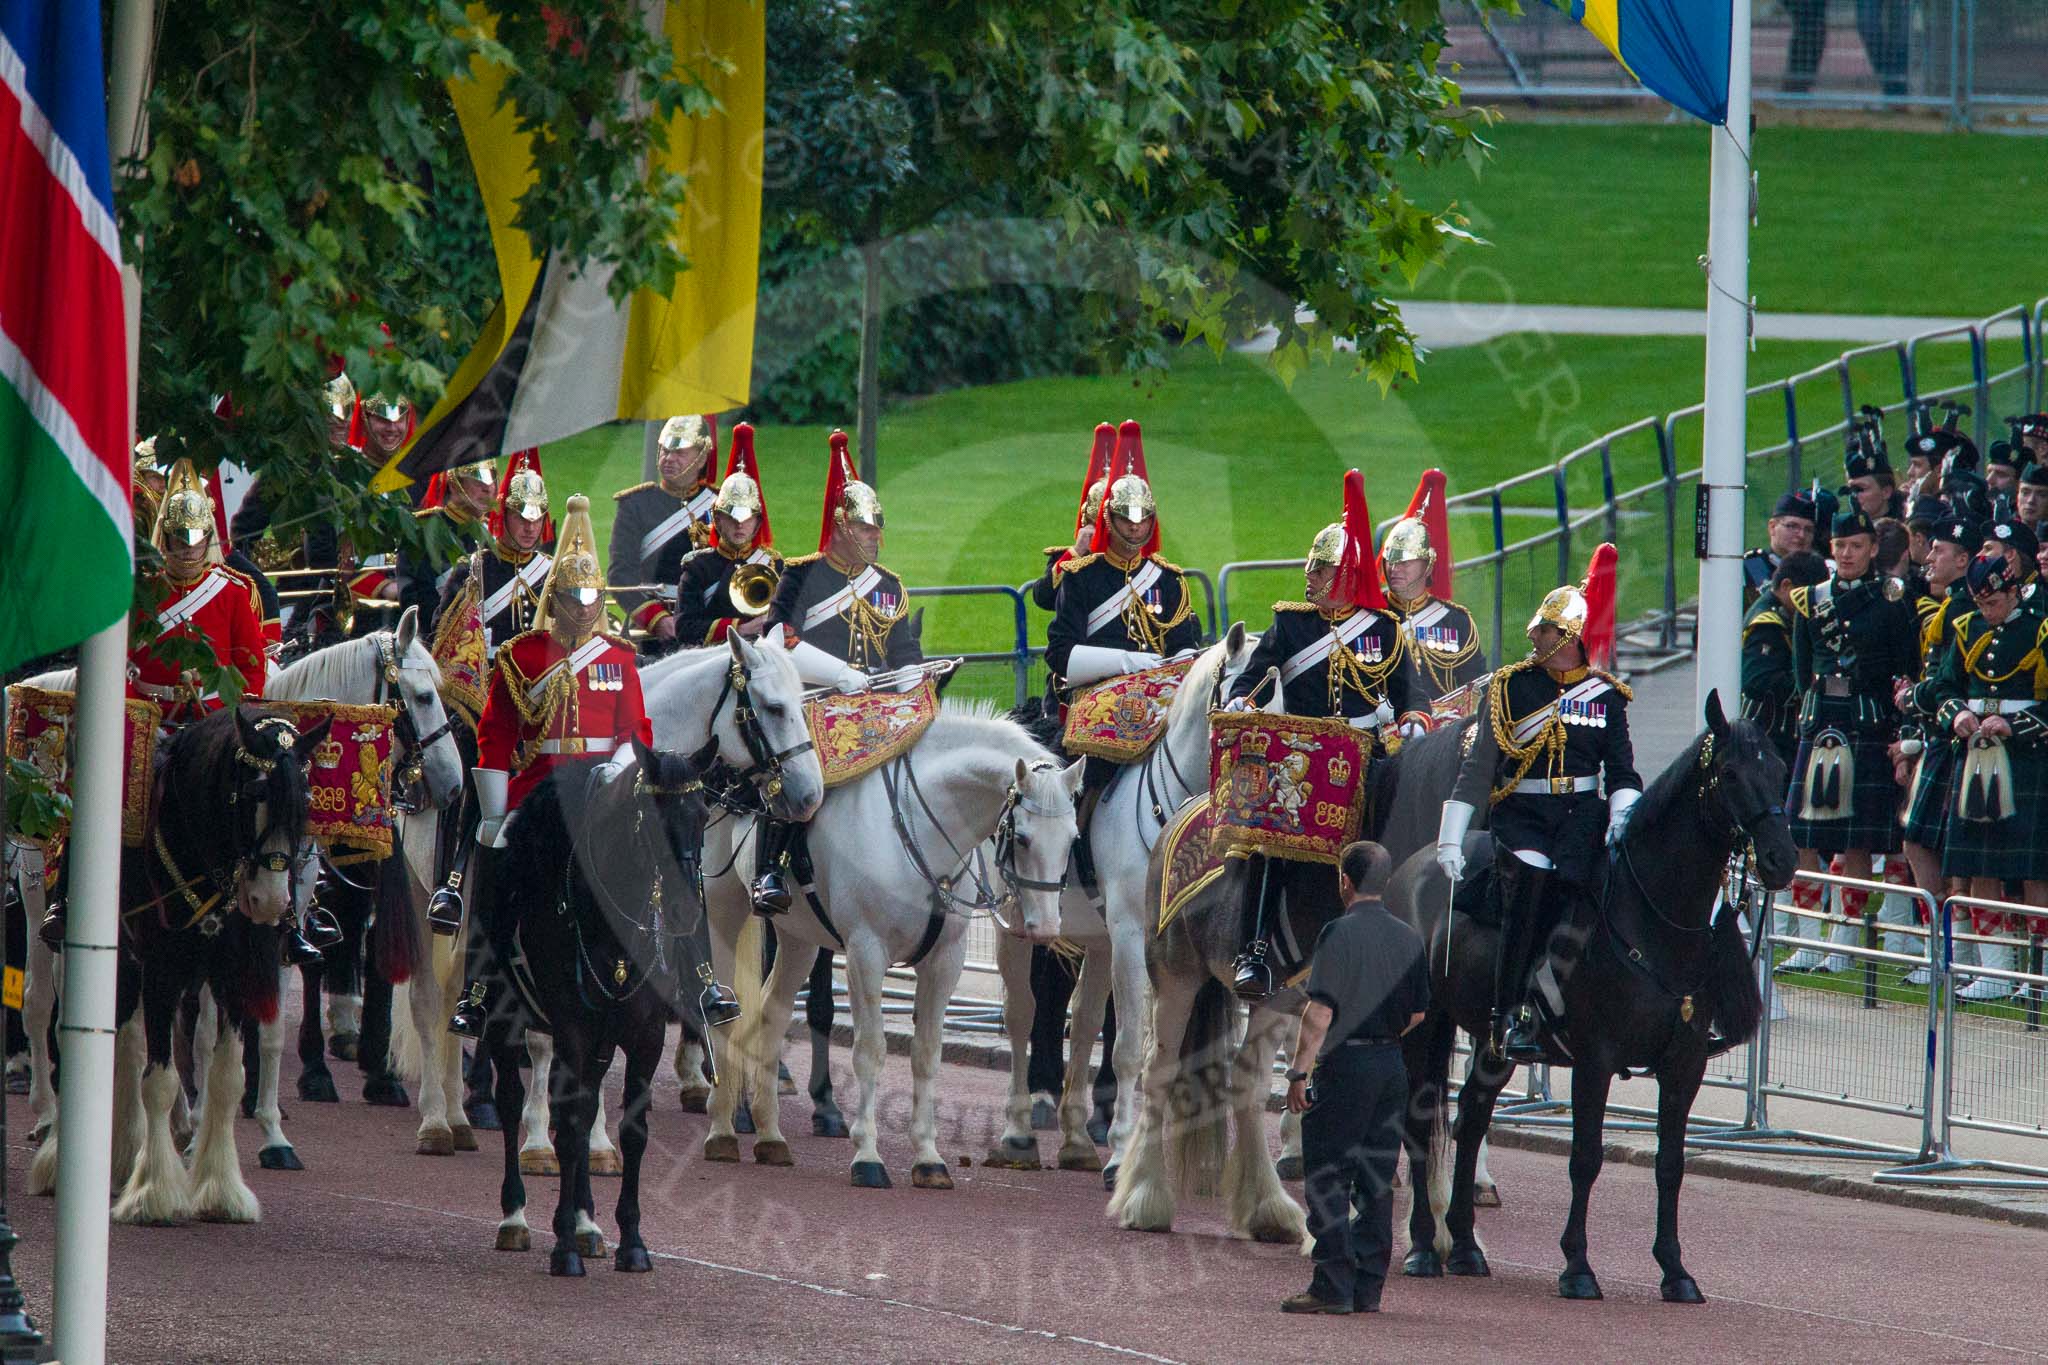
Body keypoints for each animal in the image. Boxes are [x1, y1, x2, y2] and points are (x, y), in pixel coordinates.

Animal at [483, 740, 724, 1277]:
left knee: (588, 1101)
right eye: (650, 817)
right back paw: (515, 1218)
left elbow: (631, 1130)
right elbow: (569, 1127)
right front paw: (562, 1246)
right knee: (510, 1101)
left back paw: (587, 1223)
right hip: (501, 1019)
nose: (685, 911)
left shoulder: (644, 1035)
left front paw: (629, 1240)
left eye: (703, 814)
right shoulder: (571, 1029)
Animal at [700, 703, 1073, 1186]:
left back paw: (770, 1135)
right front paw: (868, 1156)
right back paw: (723, 1129)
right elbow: (870, 1051)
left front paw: (928, 1157)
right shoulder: (866, 952)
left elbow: (927, 1053)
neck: (919, 827)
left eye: (1073, 839)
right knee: (725, 1013)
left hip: (799, 937)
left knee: (772, 1012)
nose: (1045, 927)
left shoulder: (945, 960)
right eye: (1023, 837)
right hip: (724, 913)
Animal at [983, 622, 1253, 1186]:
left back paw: (1076, 1138)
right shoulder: (1132, 936)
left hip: (1095, 937)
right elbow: (1132, 1044)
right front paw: (1124, 1151)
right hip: (1018, 924)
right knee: (1023, 1011)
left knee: (1083, 1019)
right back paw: (1021, 1127)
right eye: (1252, 680)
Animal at [1384, 695, 1802, 1301]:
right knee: (1421, 1125)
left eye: (1779, 768)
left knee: (1472, 1118)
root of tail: (1411, 869)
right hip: (1426, 1024)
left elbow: (1671, 1164)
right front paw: (1577, 1266)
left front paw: (1675, 1271)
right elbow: (1585, 1158)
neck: (1653, 917)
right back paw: (1422, 1246)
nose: (1780, 860)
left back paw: (1463, 1246)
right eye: (1728, 773)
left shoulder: (1685, 1065)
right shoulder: (1595, 1060)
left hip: (1490, 1041)